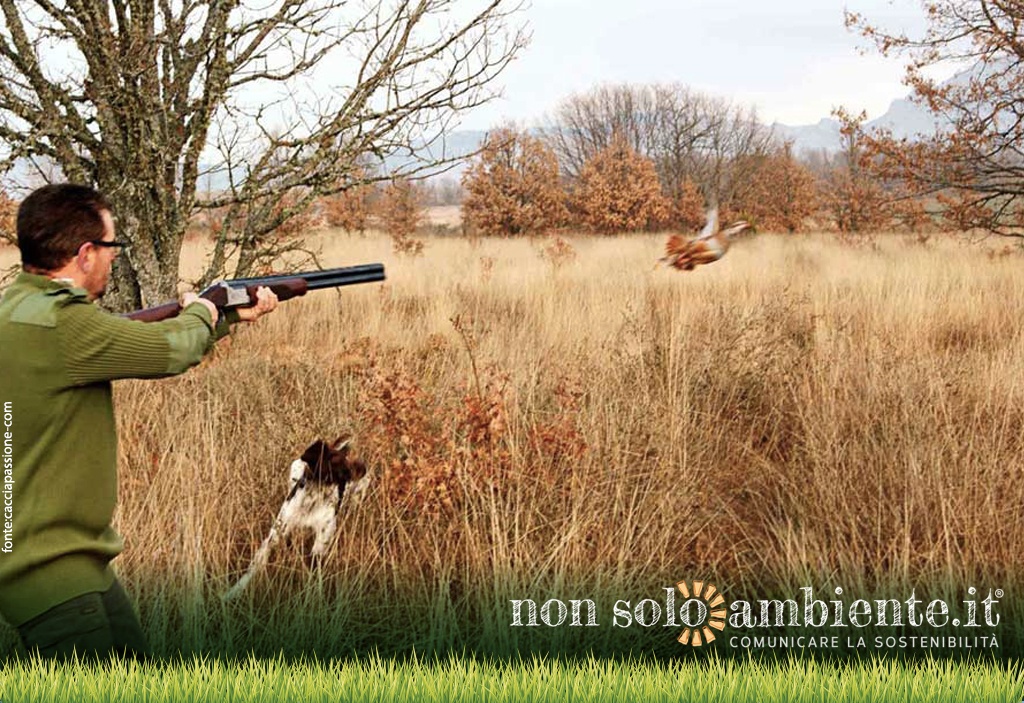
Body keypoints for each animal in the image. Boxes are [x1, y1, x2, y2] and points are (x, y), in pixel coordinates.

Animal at [223, 437, 368, 597]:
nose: (363, 468)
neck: (312, 499)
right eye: (335, 461)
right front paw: (232, 592)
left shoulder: (321, 542)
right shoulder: (276, 535)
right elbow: (255, 564)